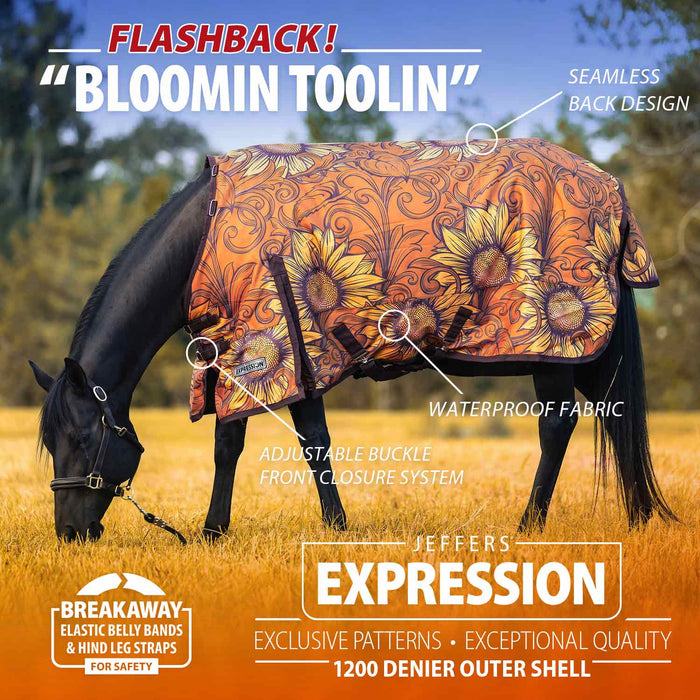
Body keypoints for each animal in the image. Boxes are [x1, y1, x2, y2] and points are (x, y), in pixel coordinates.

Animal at [30, 139, 677, 542]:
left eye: (83, 439)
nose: (70, 534)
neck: (205, 236)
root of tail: (610, 189)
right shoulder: (248, 349)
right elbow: (237, 443)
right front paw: (219, 531)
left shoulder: (286, 341)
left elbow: (304, 442)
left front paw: (329, 528)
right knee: (604, 417)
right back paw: (631, 518)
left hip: (553, 344)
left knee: (557, 426)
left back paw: (530, 525)